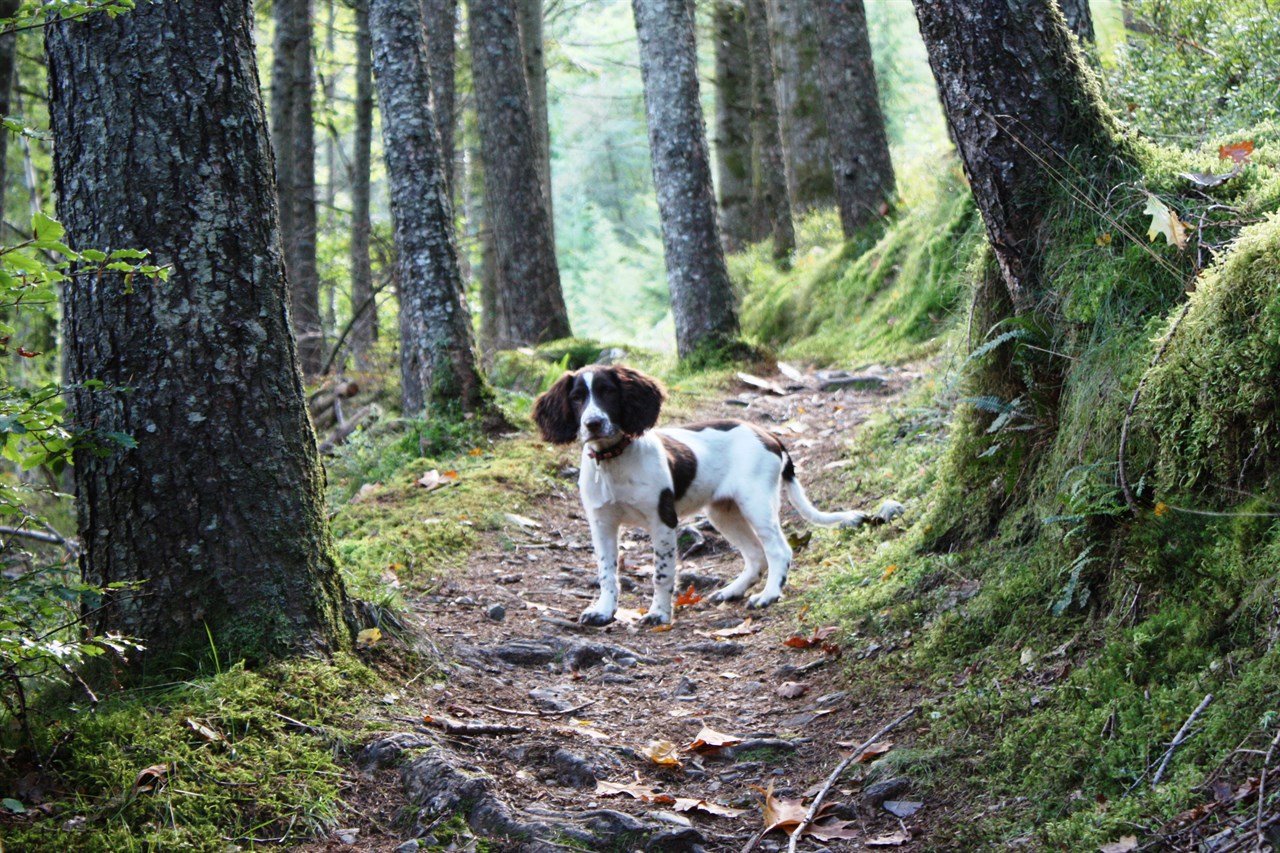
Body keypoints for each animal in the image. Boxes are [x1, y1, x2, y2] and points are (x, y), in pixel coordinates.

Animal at [535, 361, 906, 622]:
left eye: (609, 392)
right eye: (577, 398)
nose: (593, 423)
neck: (614, 460)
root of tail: (769, 435)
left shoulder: (662, 521)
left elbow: (662, 573)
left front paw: (659, 614)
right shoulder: (601, 524)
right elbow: (606, 572)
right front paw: (603, 611)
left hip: (756, 503)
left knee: (779, 550)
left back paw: (769, 595)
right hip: (722, 511)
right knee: (755, 555)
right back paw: (731, 592)